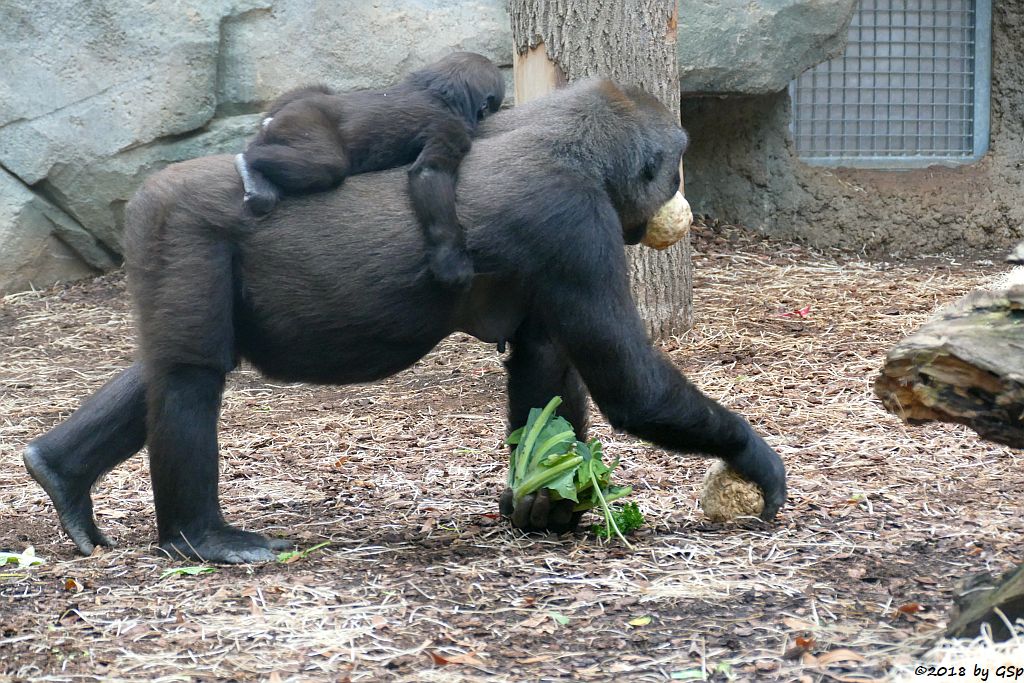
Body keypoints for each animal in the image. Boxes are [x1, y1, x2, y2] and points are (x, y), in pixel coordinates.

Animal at [25, 80, 790, 565]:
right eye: (672, 170)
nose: (679, 196)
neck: (573, 140)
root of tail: (149, 189)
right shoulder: (576, 219)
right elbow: (632, 386)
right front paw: (750, 455)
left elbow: (542, 369)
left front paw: (545, 501)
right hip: (179, 222)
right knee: (190, 376)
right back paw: (199, 537)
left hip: (165, 231)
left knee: (167, 366)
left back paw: (59, 474)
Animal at [233, 52, 503, 288]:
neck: (439, 89)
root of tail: (276, 119)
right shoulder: (452, 127)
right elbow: (431, 172)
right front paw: (451, 262)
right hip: (302, 120)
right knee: (326, 164)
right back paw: (250, 161)